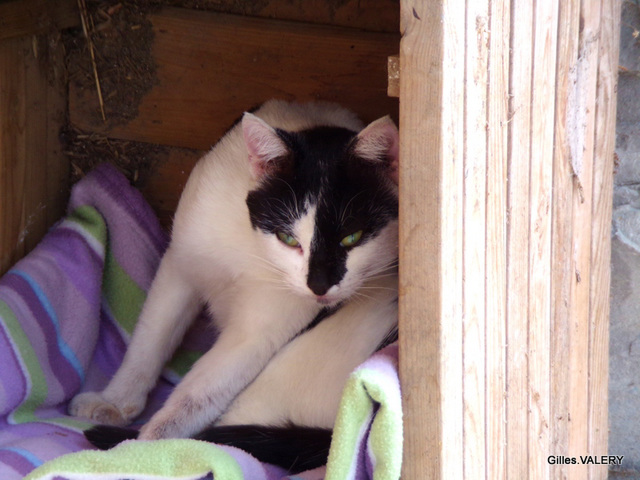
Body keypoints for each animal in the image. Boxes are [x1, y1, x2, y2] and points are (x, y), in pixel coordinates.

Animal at [71, 99, 400, 470]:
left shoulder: (259, 332)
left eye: (352, 237)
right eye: (288, 238)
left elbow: (198, 394)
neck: (253, 254)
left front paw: (146, 450)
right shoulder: (180, 264)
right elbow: (149, 341)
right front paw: (115, 400)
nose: (319, 285)